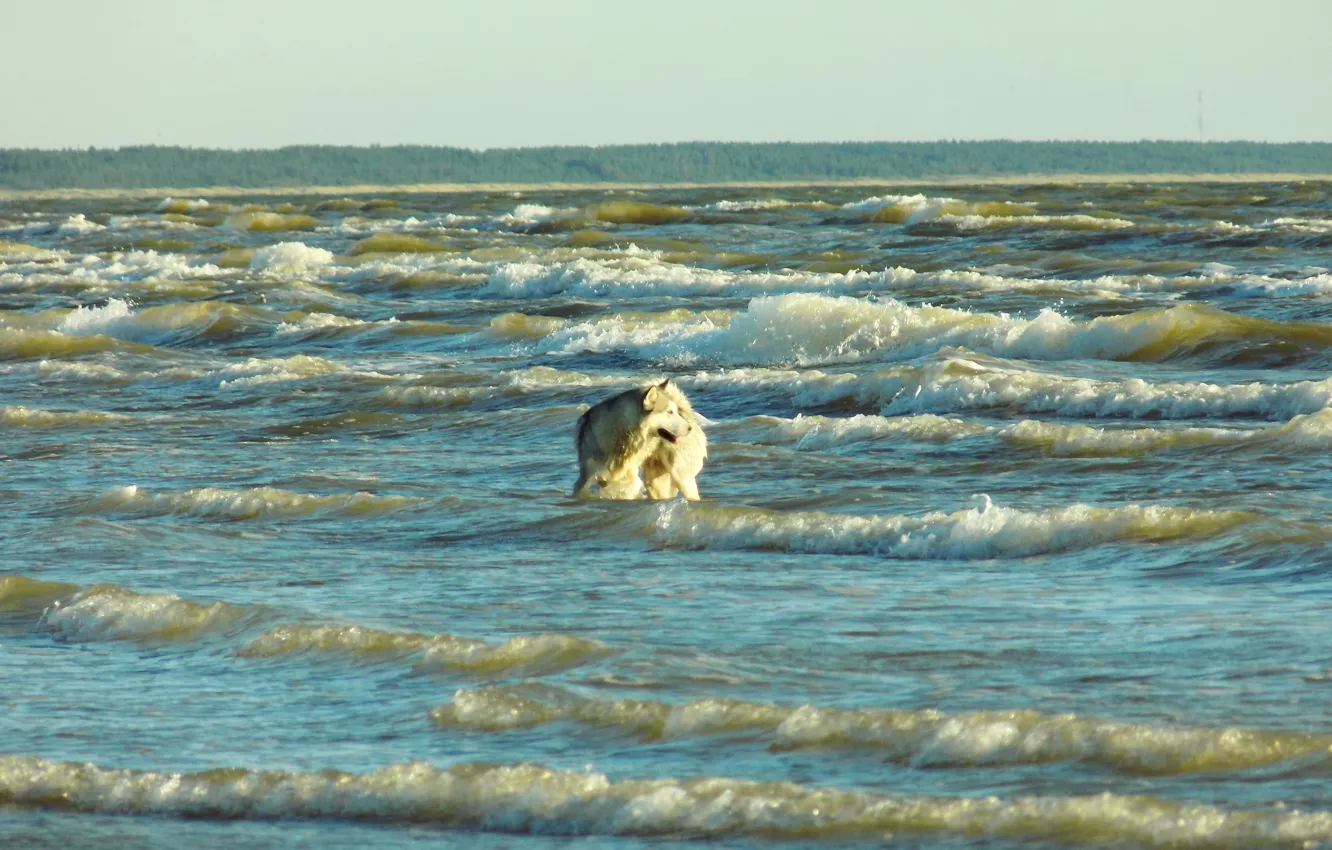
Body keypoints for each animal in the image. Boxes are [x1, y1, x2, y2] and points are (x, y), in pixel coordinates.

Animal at [572, 378, 708, 500]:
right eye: (669, 412)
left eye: (674, 412)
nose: (689, 428)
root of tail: (689, 415)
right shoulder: (586, 478)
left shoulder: (628, 477)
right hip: (656, 484)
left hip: (681, 478)